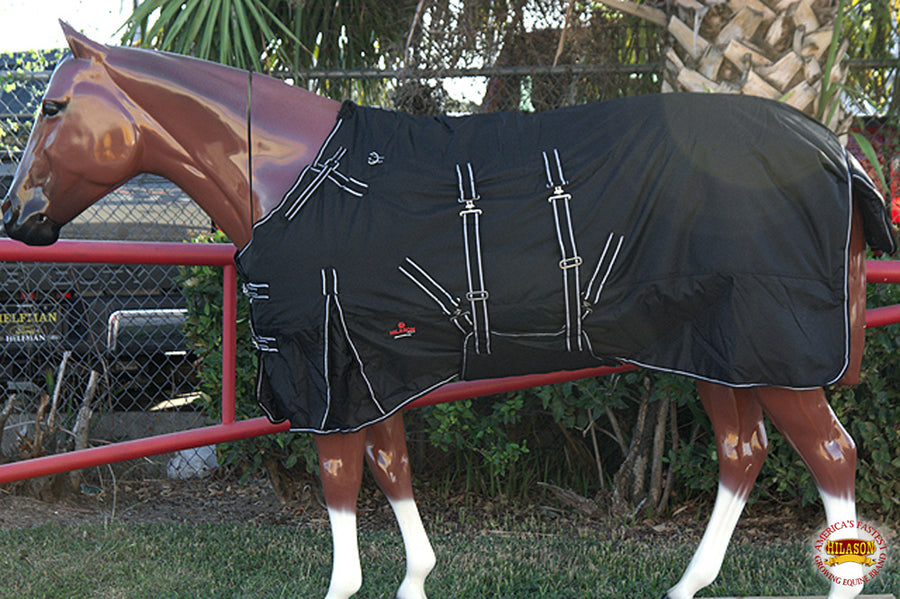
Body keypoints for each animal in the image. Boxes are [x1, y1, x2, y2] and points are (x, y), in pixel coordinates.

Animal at [2, 24, 891, 599]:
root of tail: (835, 153)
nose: (18, 217)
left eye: (52, 108)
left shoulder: (328, 371)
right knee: (745, 452)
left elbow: (339, 479)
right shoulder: (370, 367)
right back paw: (686, 585)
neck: (295, 176)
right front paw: (416, 580)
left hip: (773, 354)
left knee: (832, 455)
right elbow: (390, 467)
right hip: (719, 351)